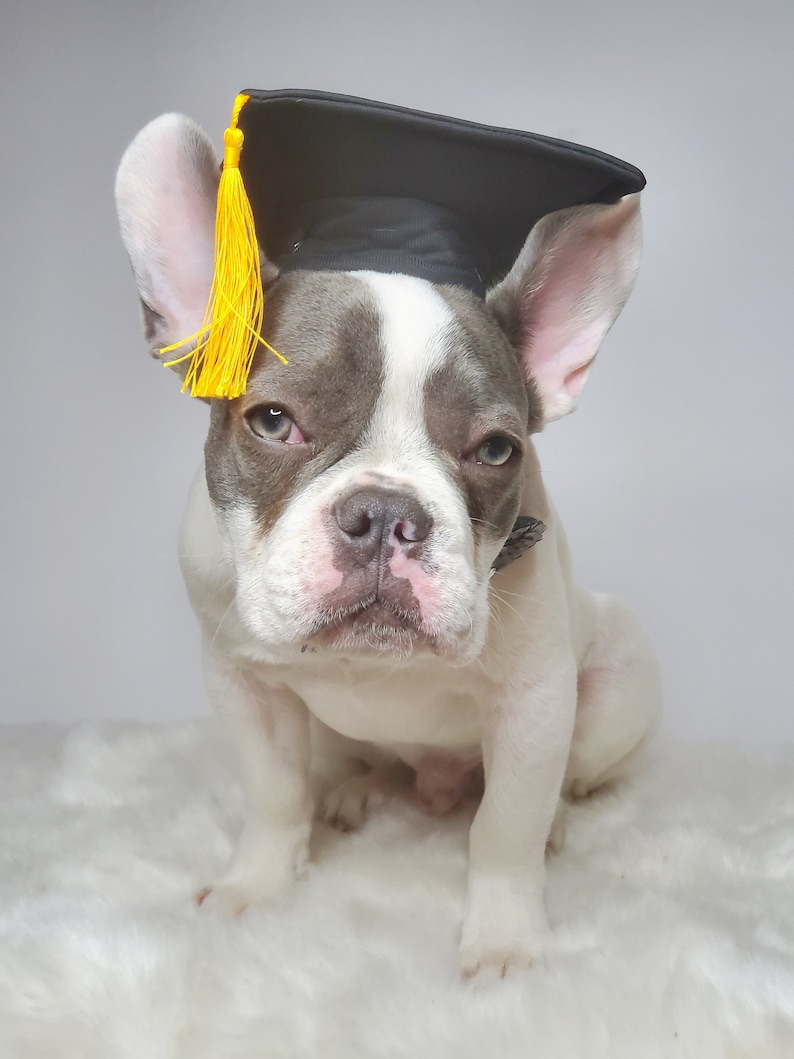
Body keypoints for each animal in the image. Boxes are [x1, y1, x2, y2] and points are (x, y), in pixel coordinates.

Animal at [114, 105, 660, 974]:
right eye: (274, 421)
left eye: (496, 449)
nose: (383, 513)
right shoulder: (245, 686)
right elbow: (276, 795)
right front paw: (256, 887)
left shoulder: (536, 703)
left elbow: (504, 829)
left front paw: (504, 938)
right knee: (355, 761)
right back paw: (353, 790)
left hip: (616, 681)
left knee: (565, 781)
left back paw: (558, 823)